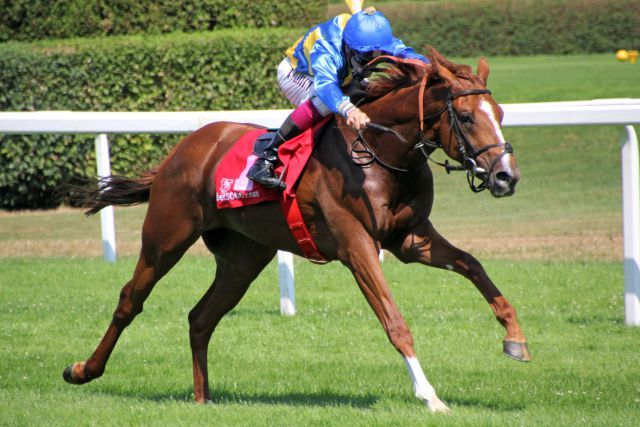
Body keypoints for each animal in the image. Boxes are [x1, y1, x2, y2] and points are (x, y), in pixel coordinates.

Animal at [63, 47, 528, 414]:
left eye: (500, 114)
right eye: (465, 117)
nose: (506, 177)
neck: (379, 154)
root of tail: (180, 151)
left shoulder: (411, 238)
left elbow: (472, 265)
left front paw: (515, 339)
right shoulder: (356, 246)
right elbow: (394, 320)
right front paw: (430, 396)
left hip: (244, 258)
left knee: (201, 318)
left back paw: (202, 398)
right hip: (166, 237)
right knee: (130, 300)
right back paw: (83, 370)